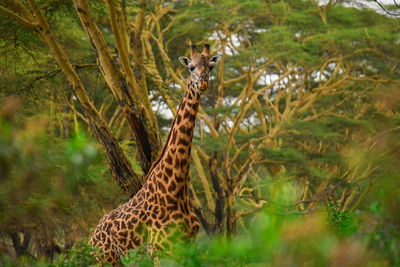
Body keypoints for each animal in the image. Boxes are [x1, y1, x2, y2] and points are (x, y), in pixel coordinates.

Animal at [88, 44, 223, 266]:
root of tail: (90, 239)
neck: (176, 188)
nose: (203, 83)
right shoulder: (160, 250)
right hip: (106, 260)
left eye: (211, 67)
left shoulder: (185, 246)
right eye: (191, 68)